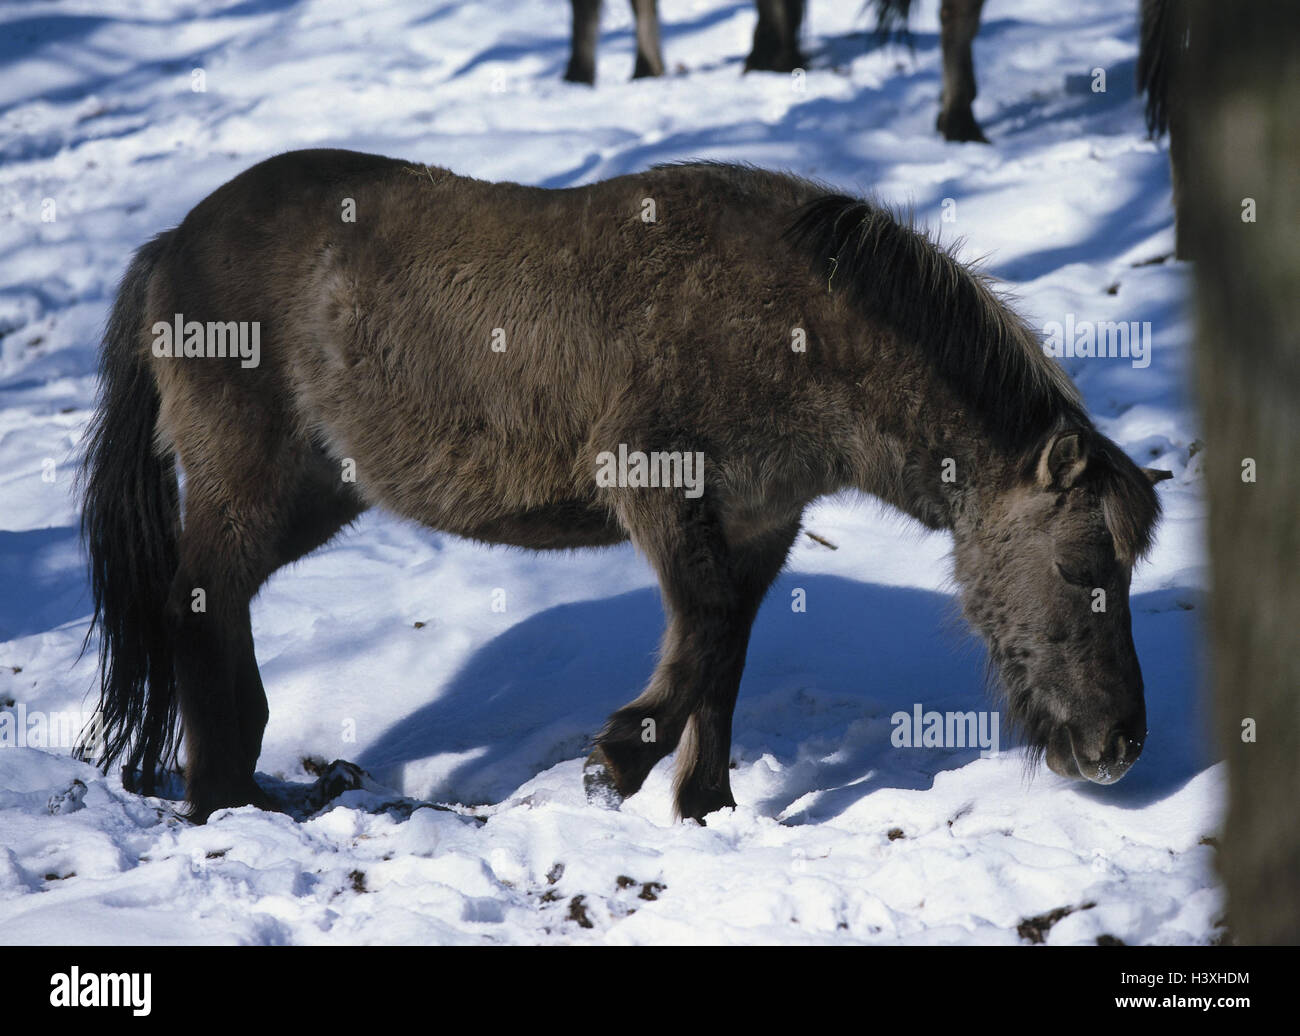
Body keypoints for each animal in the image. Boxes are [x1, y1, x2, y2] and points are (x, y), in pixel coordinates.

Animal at [76, 149, 1170, 821]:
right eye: (1080, 569)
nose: (1121, 743)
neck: (796, 325)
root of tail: (172, 245)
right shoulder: (660, 491)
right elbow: (704, 633)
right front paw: (619, 761)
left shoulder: (760, 526)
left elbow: (724, 654)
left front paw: (705, 805)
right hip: (254, 484)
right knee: (195, 601)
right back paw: (222, 798)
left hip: (315, 496)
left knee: (215, 604)